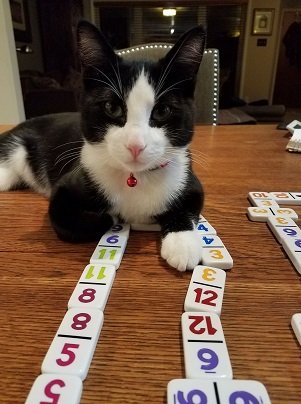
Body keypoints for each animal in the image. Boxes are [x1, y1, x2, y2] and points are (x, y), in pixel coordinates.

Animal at [0, 21, 205, 272]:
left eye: (162, 111)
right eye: (112, 107)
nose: (135, 145)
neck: (134, 179)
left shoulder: (188, 178)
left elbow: (191, 204)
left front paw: (182, 243)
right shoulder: (67, 189)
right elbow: (69, 222)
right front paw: (118, 217)